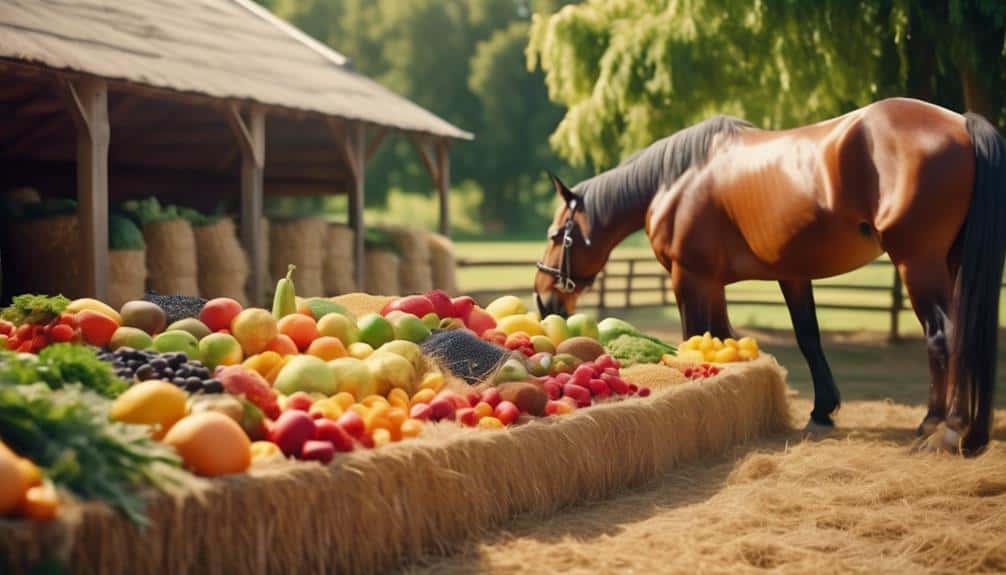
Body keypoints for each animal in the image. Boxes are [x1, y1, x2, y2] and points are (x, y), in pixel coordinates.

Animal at [533, 98, 1005, 456]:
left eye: (556, 235)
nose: (542, 297)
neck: (676, 180)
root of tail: (962, 123)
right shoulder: (768, 278)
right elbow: (791, 337)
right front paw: (821, 410)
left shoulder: (689, 278)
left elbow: (693, 337)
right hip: (952, 263)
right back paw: (969, 431)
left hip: (918, 264)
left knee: (944, 337)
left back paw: (940, 427)